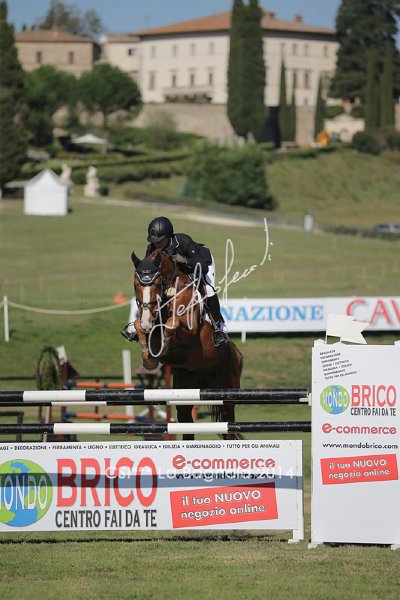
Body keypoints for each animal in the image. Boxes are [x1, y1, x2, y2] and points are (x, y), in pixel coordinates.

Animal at [130, 248, 243, 439]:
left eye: (157, 283)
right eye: (135, 284)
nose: (147, 320)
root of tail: (237, 353)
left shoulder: (189, 332)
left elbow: (172, 324)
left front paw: (164, 345)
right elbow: (140, 327)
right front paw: (148, 357)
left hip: (228, 391)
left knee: (229, 425)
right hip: (186, 391)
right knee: (186, 421)